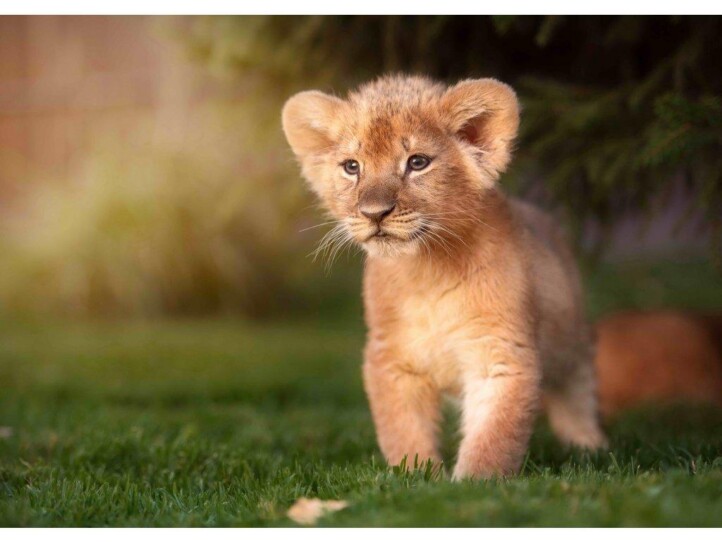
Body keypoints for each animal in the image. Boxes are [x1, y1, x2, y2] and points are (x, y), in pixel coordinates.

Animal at [282, 75, 606, 480]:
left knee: (577, 394)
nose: (374, 213)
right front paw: (417, 478)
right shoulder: (391, 359)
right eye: (351, 166)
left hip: (573, 341)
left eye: (417, 162)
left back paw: (590, 449)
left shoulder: (500, 355)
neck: (426, 272)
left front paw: (471, 485)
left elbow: (492, 439)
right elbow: (403, 431)